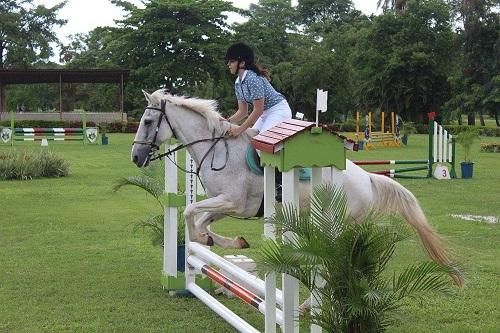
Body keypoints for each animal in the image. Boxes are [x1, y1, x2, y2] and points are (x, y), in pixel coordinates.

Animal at [131, 89, 462, 286]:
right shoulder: (225, 205)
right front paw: (225, 241)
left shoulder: (232, 202)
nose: (135, 157)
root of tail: (367, 178)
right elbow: (200, 218)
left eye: (147, 121)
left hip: (338, 225)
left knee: (334, 264)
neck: (217, 149)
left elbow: (190, 211)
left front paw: (206, 239)